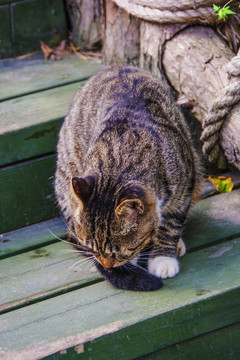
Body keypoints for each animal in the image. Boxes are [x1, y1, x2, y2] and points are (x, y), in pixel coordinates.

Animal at [54, 65, 202, 292]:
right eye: (91, 246)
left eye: (118, 251)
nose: (107, 264)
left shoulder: (185, 186)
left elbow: (171, 225)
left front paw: (163, 257)